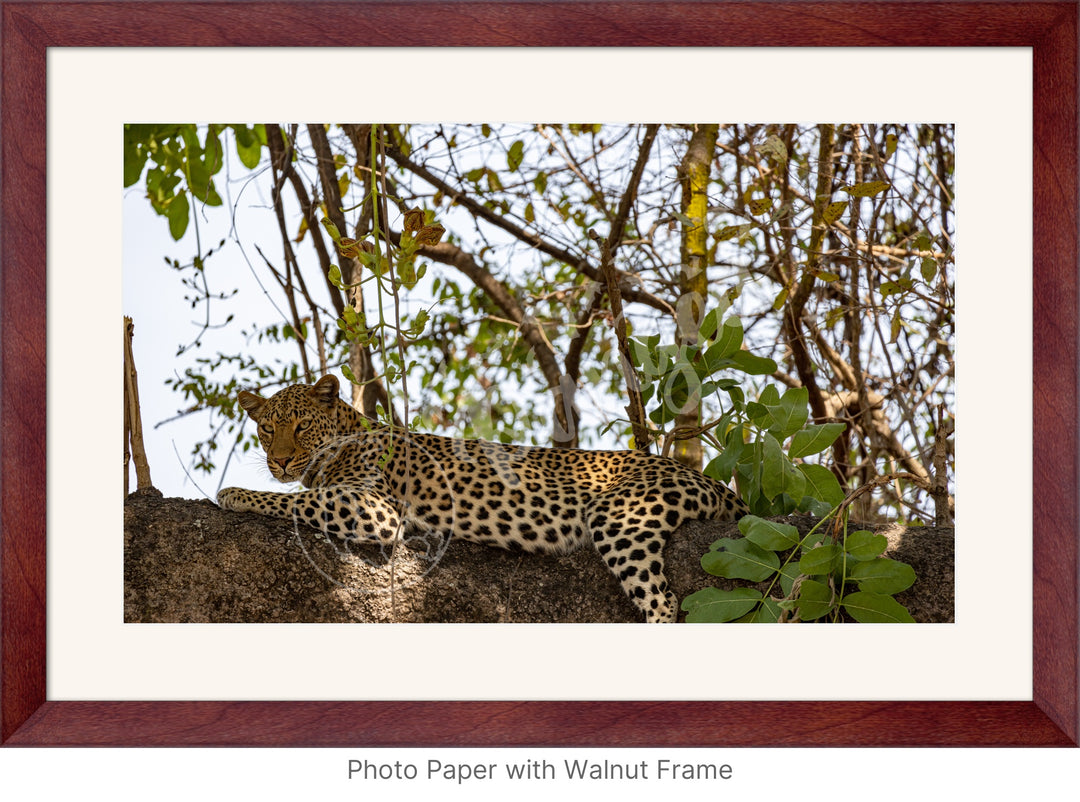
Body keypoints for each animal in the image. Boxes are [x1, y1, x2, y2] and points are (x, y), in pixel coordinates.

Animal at [214, 373, 747, 626]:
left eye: (302, 425)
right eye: (267, 429)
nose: (281, 461)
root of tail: (708, 480)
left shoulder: (376, 509)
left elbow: (298, 502)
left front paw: (233, 493)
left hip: (620, 517)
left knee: (663, 599)